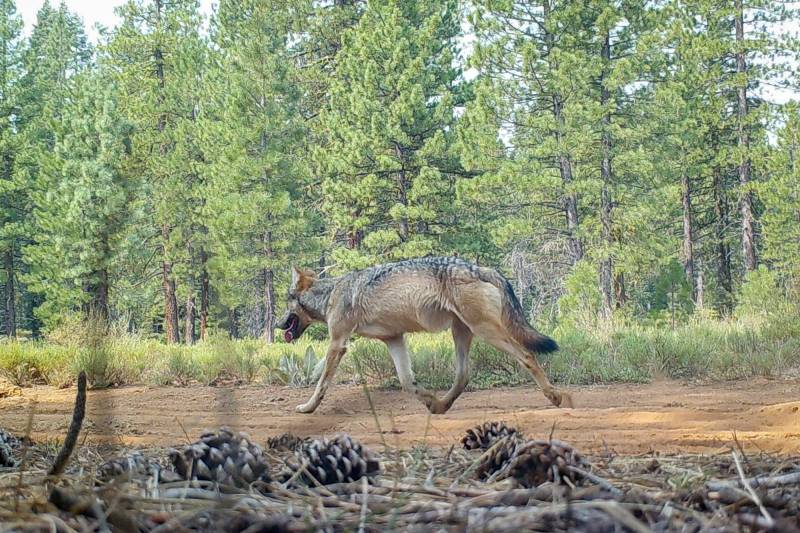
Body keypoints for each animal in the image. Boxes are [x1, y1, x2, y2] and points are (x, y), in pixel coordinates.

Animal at [276, 256, 573, 414]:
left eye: (286, 301)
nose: (278, 326)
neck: (329, 295)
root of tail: (480, 268)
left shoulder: (338, 343)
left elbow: (320, 384)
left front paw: (307, 408)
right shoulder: (394, 339)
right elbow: (407, 382)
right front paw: (428, 399)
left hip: (486, 331)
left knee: (527, 355)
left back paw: (557, 397)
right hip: (462, 333)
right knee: (463, 375)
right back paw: (440, 405)